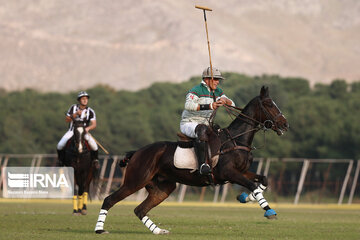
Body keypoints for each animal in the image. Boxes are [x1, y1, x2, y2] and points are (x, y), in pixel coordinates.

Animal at [94, 86, 288, 234]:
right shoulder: (229, 173)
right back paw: (99, 230)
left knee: (139, 209)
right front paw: (269, 211)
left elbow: (263, 180)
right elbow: (252, 185)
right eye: (269, 104)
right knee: (109, 200)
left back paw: (159, 231)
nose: (285, 124)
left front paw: (246, 198)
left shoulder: (242, 171)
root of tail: (137, 152)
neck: (236, 140)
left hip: (163, 188)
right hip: (135, 181)